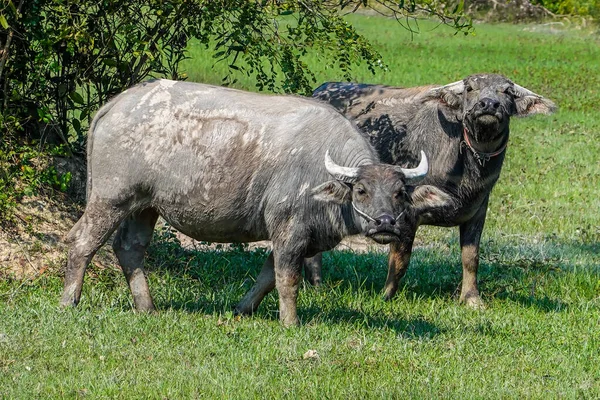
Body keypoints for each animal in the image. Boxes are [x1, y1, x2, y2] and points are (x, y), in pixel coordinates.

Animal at [59, 78, 450, 324]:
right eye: (361, 191)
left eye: (399, 193)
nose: (385, 223)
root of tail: (116, 104)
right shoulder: (289, 231)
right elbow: (287, 279)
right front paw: (291, 323)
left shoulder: (298, 237)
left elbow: (266, 276)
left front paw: (242, 310)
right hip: (110, 197)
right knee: (82, 242)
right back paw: (69, 301)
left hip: (144, 205)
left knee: (129, 248)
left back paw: (147, 307)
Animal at [314, 73, 556, 308]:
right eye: (470, 88)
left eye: (507, 91)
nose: (488, 104)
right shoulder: (406, 215)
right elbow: (400, 259)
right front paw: (386, 296)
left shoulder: (478, 210)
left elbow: (471, 257)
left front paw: (472, 299)